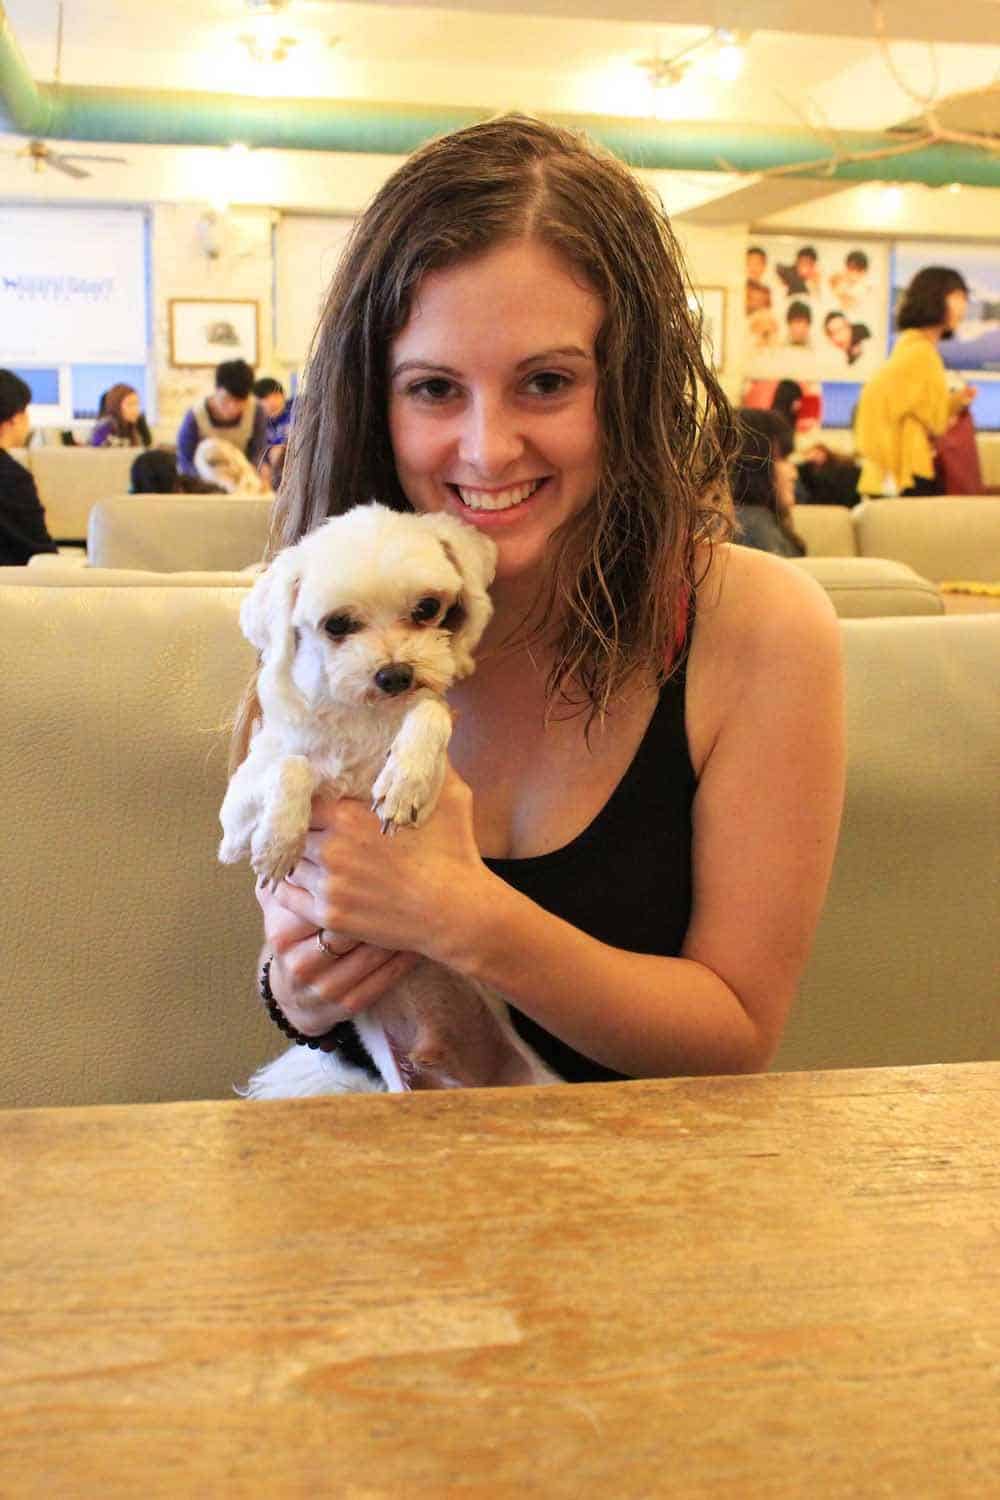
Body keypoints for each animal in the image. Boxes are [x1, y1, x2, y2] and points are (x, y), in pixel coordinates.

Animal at [220, 504, 560, 1104]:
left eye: (427, 609)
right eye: (336, 625)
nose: (396, 674)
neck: (362, 721)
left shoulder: (433, 741)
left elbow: (430, 713)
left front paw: (405, 780)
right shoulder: (236, 812)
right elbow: (292, 764)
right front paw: (280, 837)